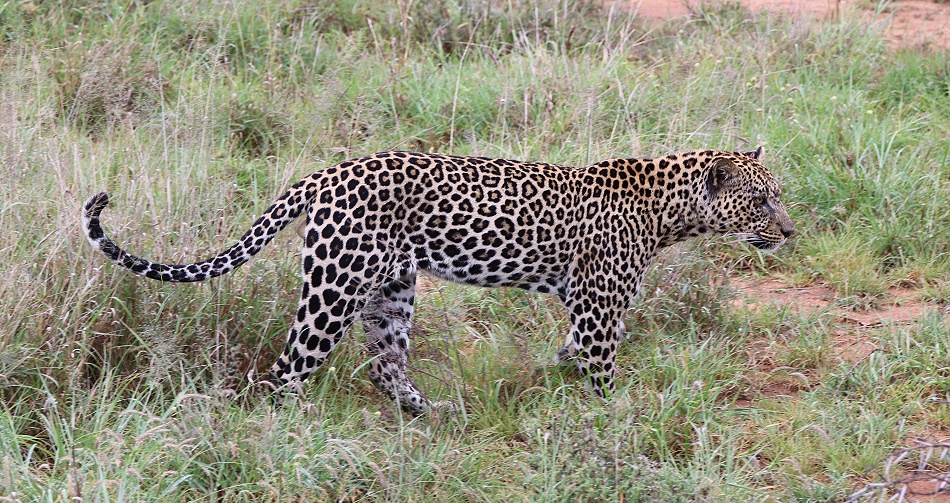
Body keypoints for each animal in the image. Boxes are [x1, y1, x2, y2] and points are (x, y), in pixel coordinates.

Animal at [82, 147, 793, 416]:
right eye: (762, 201)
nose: (789, 230)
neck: (670, 212)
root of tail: (325, 173)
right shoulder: (598, 308)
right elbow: (601, 372)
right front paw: (616, 421)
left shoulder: (582, 308)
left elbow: (568, 354)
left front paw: (543, 379)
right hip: (336, 286)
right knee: (287, 369)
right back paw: (291, 430)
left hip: (392, 289)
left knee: (384, 366)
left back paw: (435, 412)